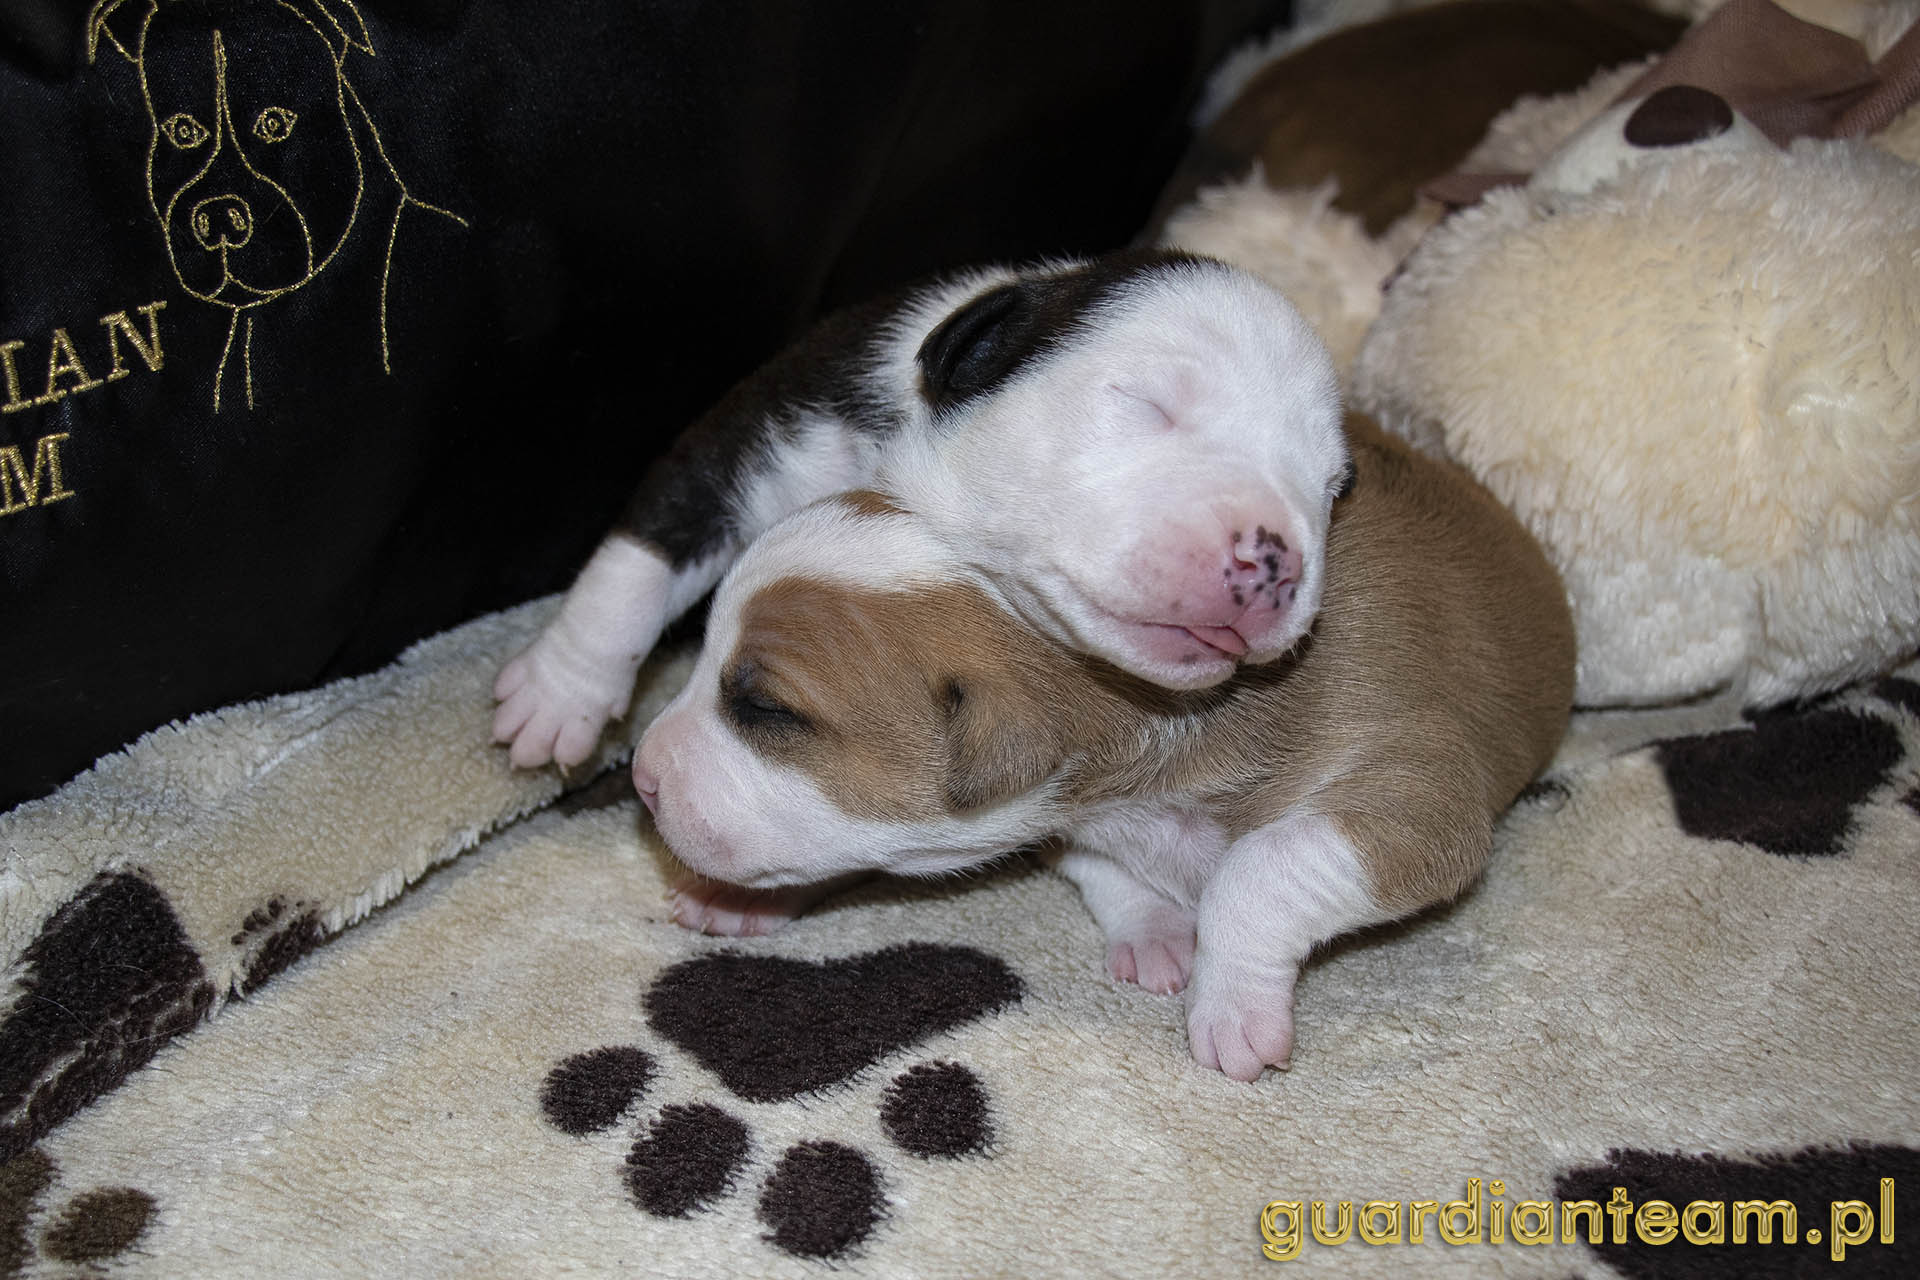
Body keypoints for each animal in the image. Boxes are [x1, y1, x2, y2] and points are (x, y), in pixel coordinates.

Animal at [495, 250, 1348, 768]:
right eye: (1149, 405)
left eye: (1333, 486)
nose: (1274, 562)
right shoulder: (752, 442)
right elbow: (645, 553)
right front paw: (559, 693)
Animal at [631, 413, 1576, 1079]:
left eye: (763, 708)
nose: (639, 777)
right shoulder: (1070, 807)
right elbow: (1102, 863)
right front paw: (1154, 929)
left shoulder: (1413, 786)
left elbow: (1260, 867)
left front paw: (1231, 1009)